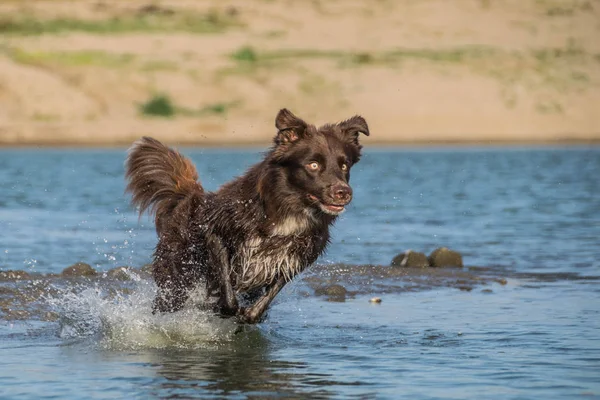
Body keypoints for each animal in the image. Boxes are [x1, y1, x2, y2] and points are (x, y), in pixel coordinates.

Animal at [126, 108, 368, 324]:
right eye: (313, 164)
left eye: (344, 165)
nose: (343, 192)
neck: (288, 210)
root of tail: (190, 196)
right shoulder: (216, 235)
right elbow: (226, 288)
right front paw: (222, 308)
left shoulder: (294, 260)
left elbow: (267, 296)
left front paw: (251, 314)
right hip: (175, 280)